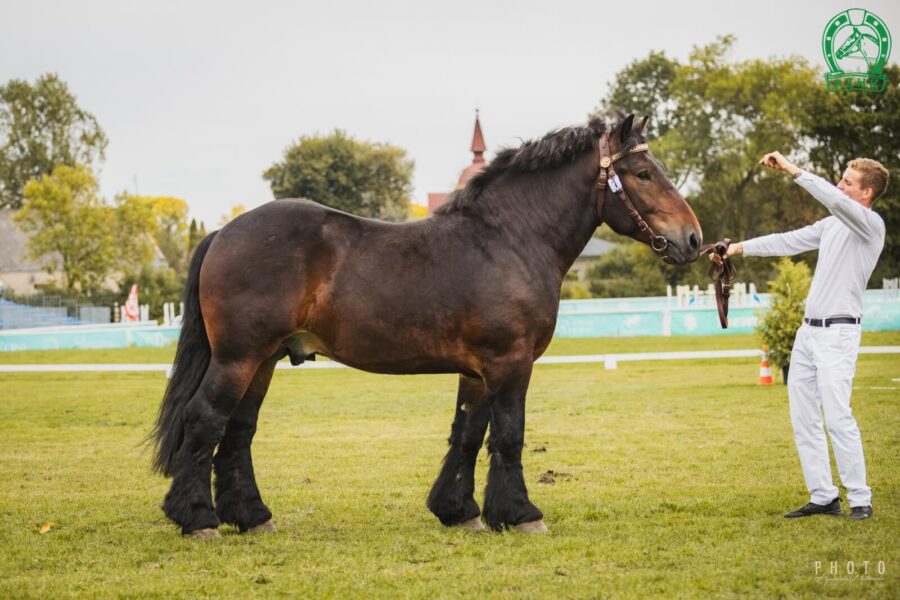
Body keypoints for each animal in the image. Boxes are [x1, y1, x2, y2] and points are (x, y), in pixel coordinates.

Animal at [153, 112, 704, 540]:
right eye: (642, 173)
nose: (694, 239)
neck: (509, 239)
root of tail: (224, 232)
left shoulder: (478, 371)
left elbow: (468, 434)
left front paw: (460, 512)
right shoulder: (510, 363)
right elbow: (509, 434)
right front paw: (522, 515)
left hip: (263, 360)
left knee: (238, 431)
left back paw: (252, 516)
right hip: (238, 358)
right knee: (205, 420)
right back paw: (198, 519)